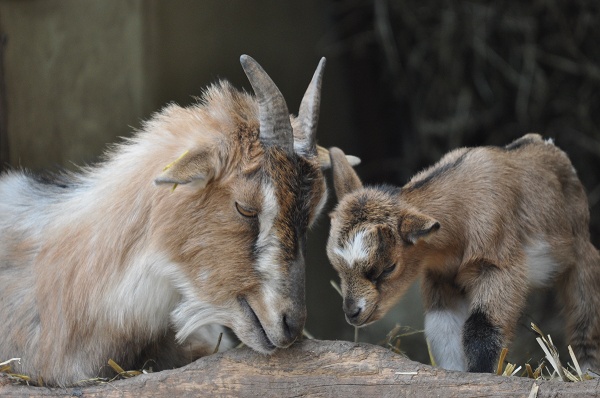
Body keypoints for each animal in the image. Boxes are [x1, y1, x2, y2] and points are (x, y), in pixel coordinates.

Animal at [326, 135, 600, 374]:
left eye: (388, 268)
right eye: (337, 266)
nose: (352, 313)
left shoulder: (498, 265)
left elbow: (481, 325)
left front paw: (480, 372)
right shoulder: (440, 276)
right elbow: (442, 330)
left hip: (582, 256)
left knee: (585, 314)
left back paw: (588, 370)